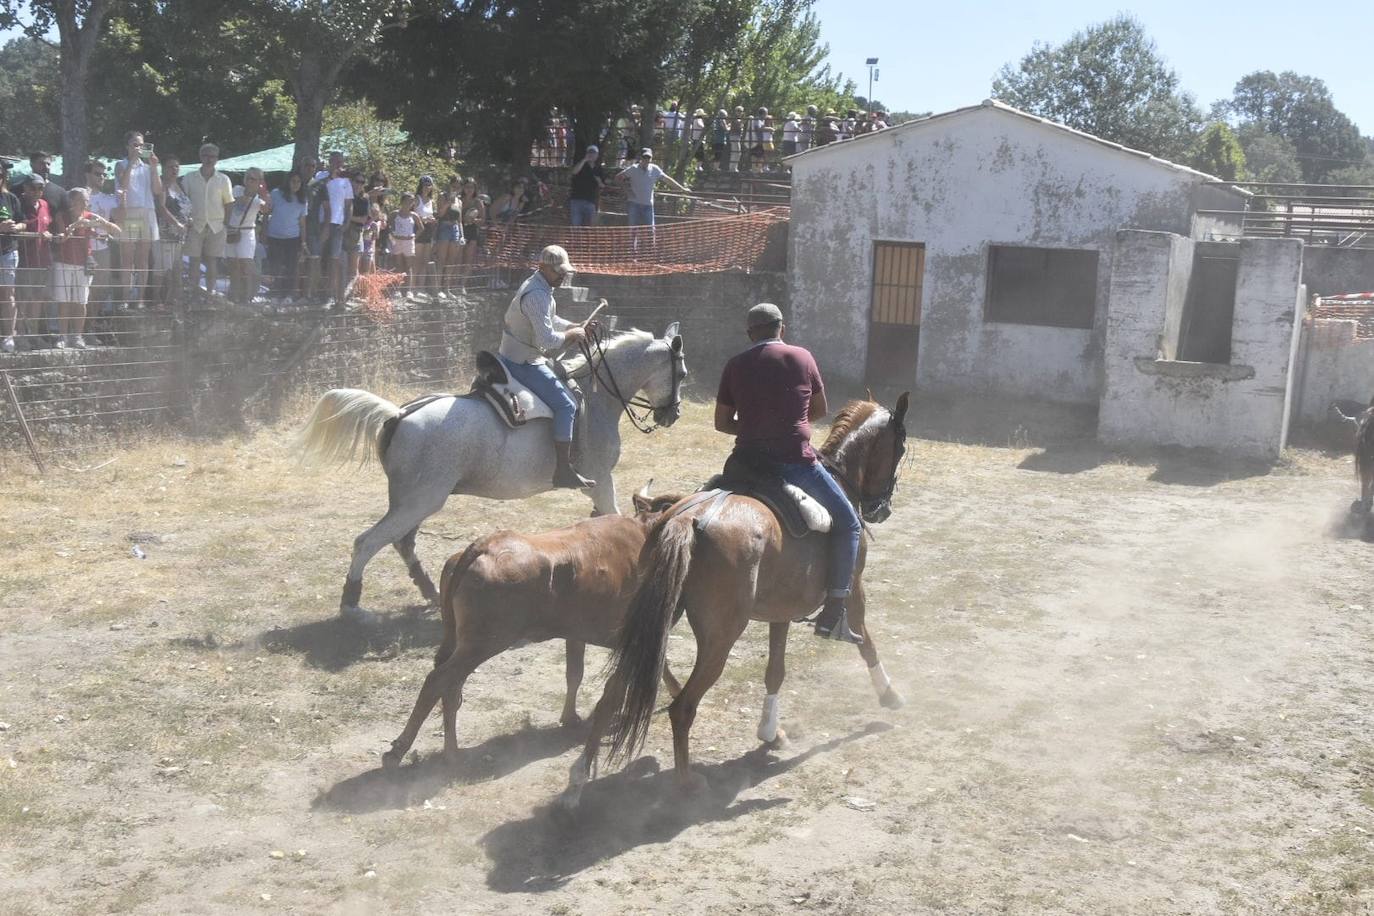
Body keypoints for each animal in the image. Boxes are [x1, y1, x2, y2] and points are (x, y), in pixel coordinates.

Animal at [300, 324, 687, 623]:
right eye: (681, 373)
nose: (673, 415)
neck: (594, 397)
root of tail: (398, 414)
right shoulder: (602, 482)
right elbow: (616, 520)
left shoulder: (598, 487)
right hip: (418, 502)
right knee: (368, 542)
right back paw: (352, 606)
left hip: (414, 502)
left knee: (402, 542)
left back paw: (431, 592)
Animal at [384, 483, 684, 769]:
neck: (647, 534)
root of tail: (482, 545)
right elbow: (660, 664)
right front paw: (677, 691)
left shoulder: (577, 634)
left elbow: (574, 673)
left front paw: (570, 717)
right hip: (483, 643)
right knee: (438, 681)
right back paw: (400, 751)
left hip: (460, 641)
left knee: (451, 687)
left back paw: (451, 753)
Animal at [560, 395, 912, 807]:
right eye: (899, 447)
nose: (882, 508)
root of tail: (686, 522)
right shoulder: (853, 588)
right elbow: (865, 640)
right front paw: (890, 695)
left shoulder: (781, 610)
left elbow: (775, 670)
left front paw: (771, 732)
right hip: (721, 637)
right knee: (682, 708)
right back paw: (688, 782)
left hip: (653, 622)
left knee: (611, 696)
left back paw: (578, 781)